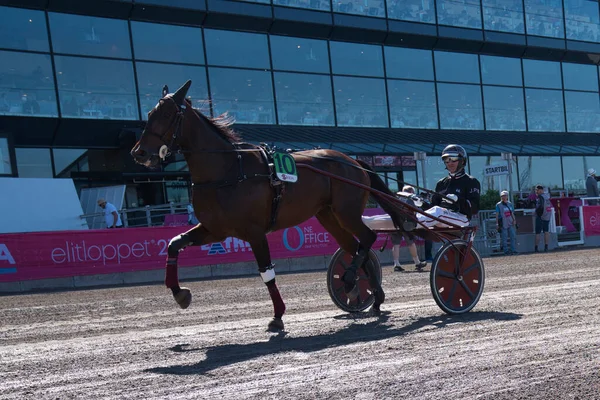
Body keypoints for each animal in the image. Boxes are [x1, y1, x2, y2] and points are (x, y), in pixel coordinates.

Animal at [131, 80, 408, 332]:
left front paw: (278, 315)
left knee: (367, 238)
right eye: (149, 114)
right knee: (355, 247)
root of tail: (353, 161)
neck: (228, 171)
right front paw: (180, 293)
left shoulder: (253, 232)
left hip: (346, 212)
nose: (139, 153)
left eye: (166, 115)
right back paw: (372, 295)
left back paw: (353, 280)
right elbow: (173, 243)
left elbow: (266, 272)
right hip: (328, 216)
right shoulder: (214, 230)